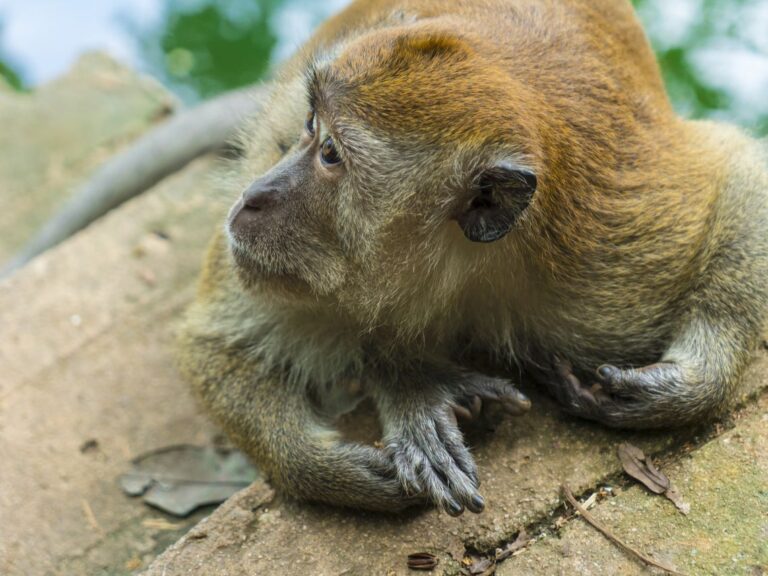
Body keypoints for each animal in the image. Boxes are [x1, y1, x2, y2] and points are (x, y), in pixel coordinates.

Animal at [178, 0, 768, 516]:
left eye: (329, 153)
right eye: (307, 124)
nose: (253, 199)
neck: (460, 266)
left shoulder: (611, 256)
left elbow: (737, 166)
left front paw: (690, 385)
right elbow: (213, 342)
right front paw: (349, 451)